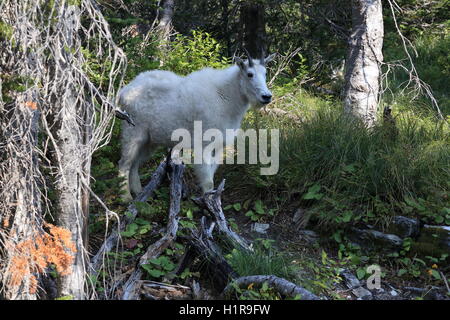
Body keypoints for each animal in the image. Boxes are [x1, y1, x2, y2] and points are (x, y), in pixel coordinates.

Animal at [116, 53, 276, 201]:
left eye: (265, 73)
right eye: (249, 74)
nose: (266, 97)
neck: (226, 98)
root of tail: (123, 93)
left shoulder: (220, 145)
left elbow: (212, 174)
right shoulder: (203, 144)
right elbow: (208, 181)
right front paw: (209, 205)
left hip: (149, 141)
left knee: (134, 164)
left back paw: (138, 192)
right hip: (132, 133)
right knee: (124, 164)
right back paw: (126, 198)